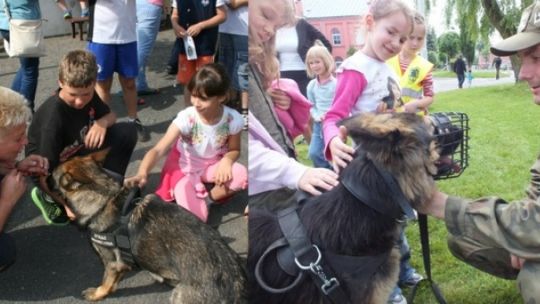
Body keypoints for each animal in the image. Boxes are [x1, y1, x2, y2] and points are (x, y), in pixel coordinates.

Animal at [49, 150, 248, 304]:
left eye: (53, 175)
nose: (46, 175)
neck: (107, 198)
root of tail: (235, 285)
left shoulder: (112, 262)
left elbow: (106, 282)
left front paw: (97, 293)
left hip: (179, 297)